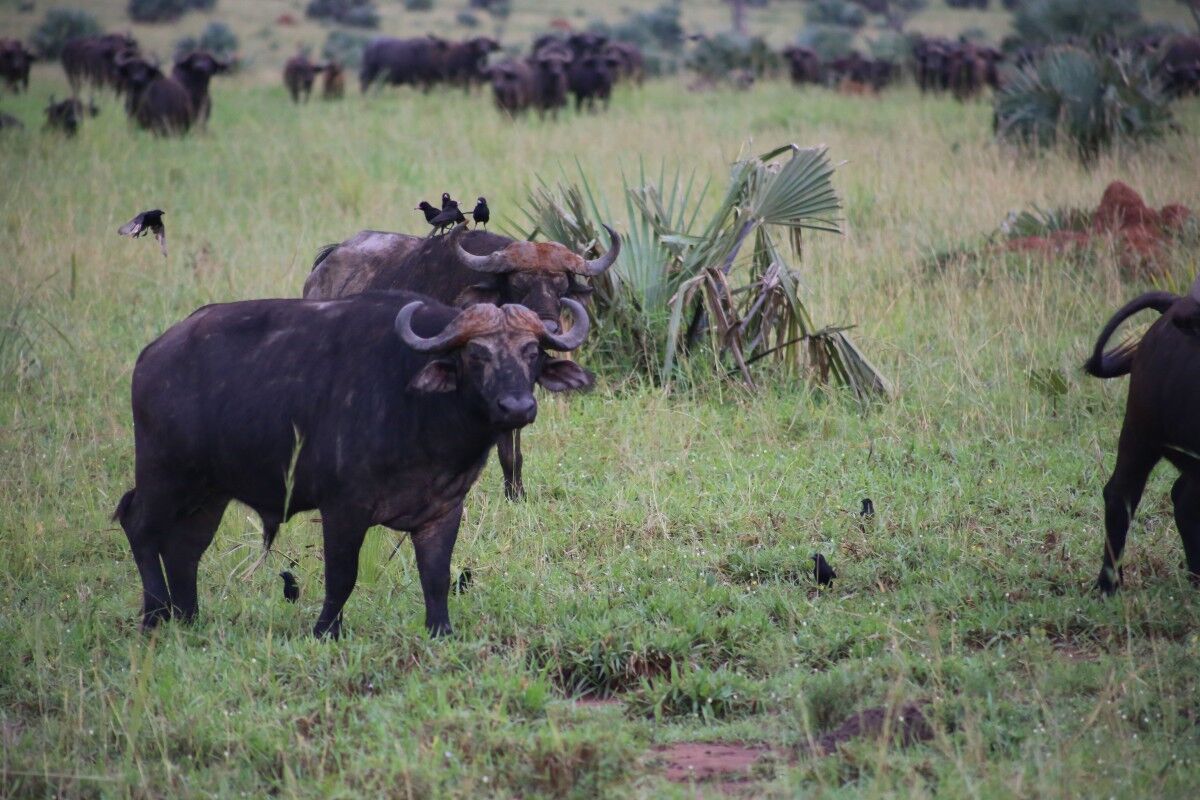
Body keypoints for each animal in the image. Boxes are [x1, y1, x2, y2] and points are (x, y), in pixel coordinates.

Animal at [114, 292, 592, 638]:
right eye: (476, 354)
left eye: (531, 352)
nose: (518, 407)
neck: (421, 413)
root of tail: (152, 356)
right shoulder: (343, 509)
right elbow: (342, 575)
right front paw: (326, 631)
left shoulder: (443, 510)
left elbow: (436, 576)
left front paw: (441, 631)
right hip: (164, 475)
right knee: (138, 524)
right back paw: (155, 615)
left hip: (209, 492)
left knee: (185, 547)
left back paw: (189, 616)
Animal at [302, 225, 619, 501]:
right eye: (518, 283)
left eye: (561, 286)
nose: (549, 328)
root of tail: (324, 265)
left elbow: (511, 451)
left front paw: (516, 495)